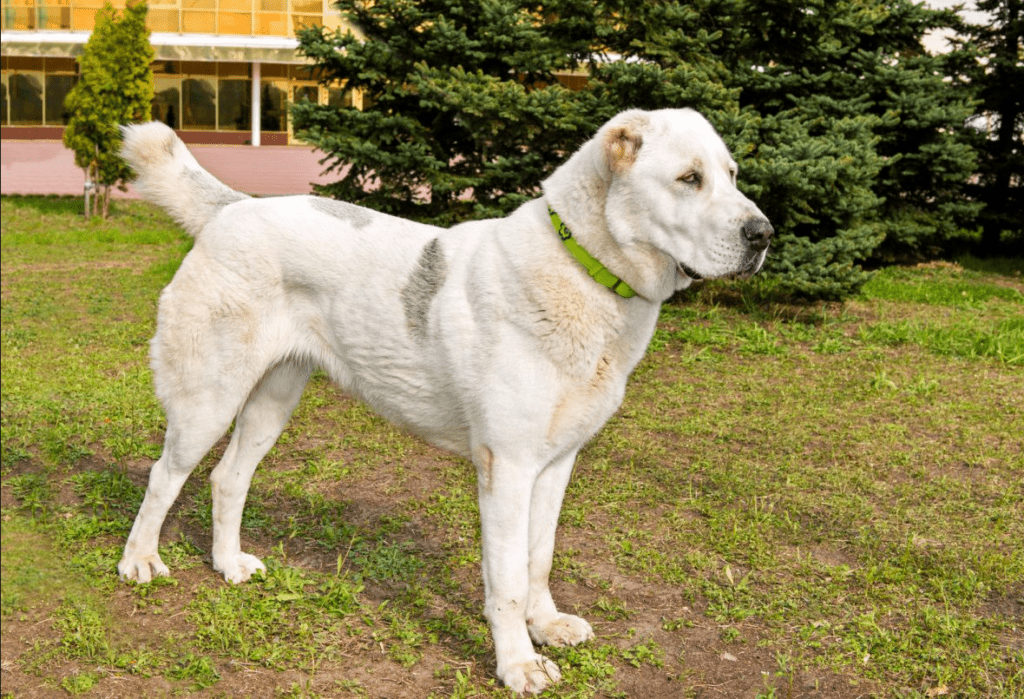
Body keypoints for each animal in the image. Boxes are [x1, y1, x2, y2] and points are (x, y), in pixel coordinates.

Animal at [117, 109, 772, 693]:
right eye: (689, 178)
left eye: (733, 174)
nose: (764, 235)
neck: (584, 271)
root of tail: (236, 207)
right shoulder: (507, 469)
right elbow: (506, 581)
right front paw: (518, 665)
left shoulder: (556, 465)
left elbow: (539, 558)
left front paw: (545, 625)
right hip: (209, 400)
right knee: (164, 476)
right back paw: (139, 563)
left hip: (272, 402)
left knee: (227, 478)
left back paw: (228, 565)